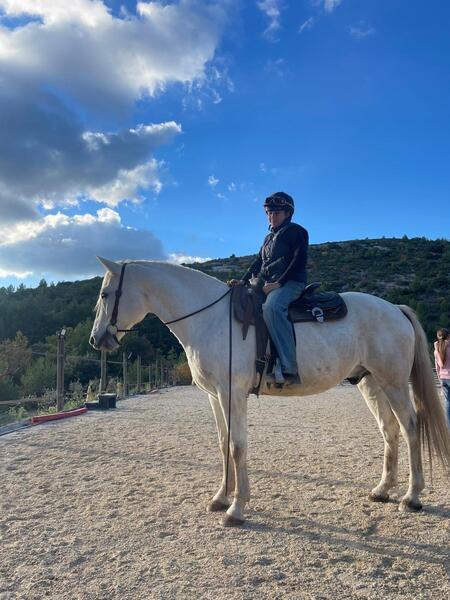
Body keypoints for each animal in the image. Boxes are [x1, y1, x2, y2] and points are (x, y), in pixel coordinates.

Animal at [90, 257, 450, 527]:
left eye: (106, 294)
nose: (96, 339)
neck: (211, 319)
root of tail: (395, 309)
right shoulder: (214, 396)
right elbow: (222, 444)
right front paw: (221, 497)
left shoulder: (232, 394)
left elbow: (237, 446)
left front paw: (236, 508)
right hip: (370, 383)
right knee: (389, 430)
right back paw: (382, 490)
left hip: (393, 383)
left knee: (410, 427)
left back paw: (412, 497)